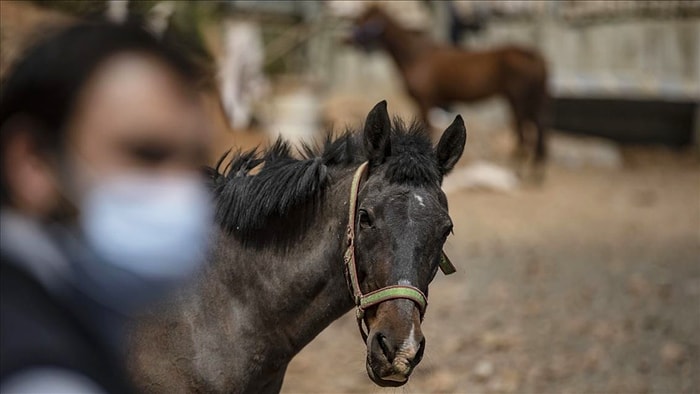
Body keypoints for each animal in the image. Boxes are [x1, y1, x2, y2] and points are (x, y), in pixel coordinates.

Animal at [352, 6, 548, 172]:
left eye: (367, 21)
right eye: (359, 20)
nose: (351, 40)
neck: (416, 56)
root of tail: (534, 56)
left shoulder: (426, 101)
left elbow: (428, 128)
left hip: (518, 100)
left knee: (524, 131)